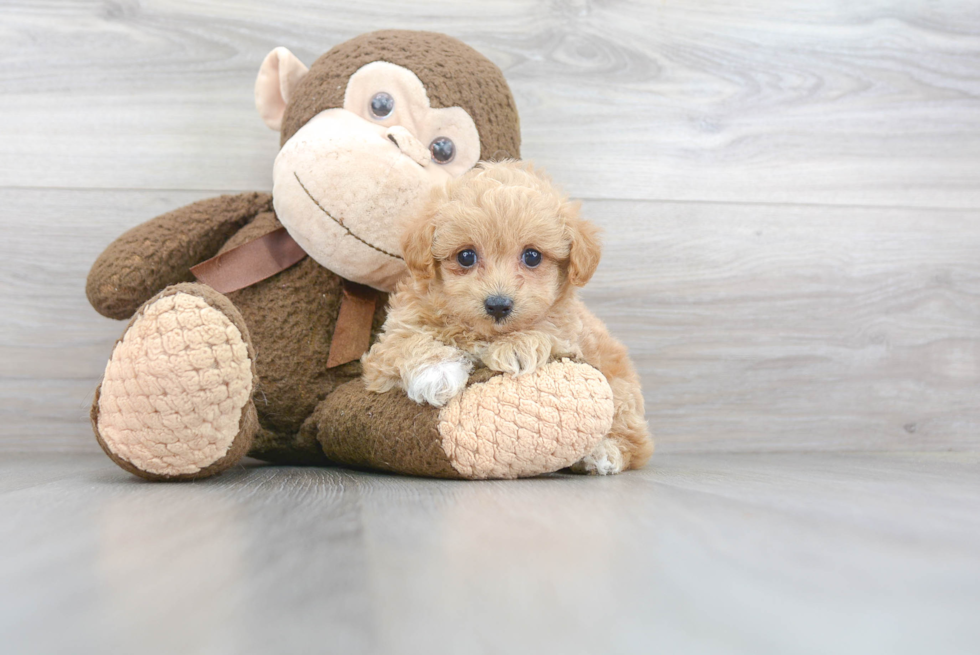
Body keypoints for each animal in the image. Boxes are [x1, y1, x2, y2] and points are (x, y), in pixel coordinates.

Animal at [360, 160, 652, 476]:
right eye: (466, 256)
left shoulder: (567, 332)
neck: (482, 332)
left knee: (635, 440)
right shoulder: (389, 342)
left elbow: (547, 329)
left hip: (622, 391)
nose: (498, 304)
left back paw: (603, 453)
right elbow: (405, 343)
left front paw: (516, 347)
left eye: (532, 256)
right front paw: (437, 372)